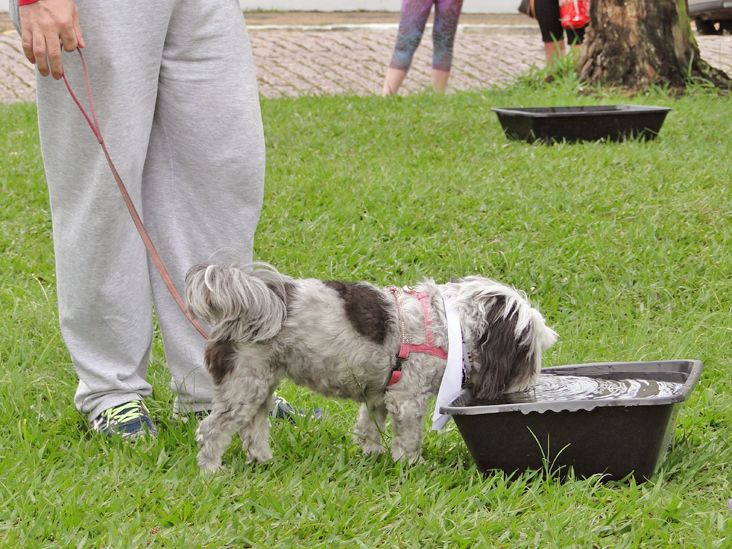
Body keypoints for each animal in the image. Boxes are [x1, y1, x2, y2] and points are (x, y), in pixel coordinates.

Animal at [183, 264, 556, 468]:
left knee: (253, 427)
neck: (446, 325)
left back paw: (262, 460)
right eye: (530, 351)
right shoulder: (407, 397)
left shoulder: (380, 390)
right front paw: (412, 464)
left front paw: (372, 454)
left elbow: (369, 424)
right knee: (212, 430)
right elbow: (409, 438)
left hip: (259, 383)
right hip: (244, 384)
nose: (529, 385)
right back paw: (212, 470)